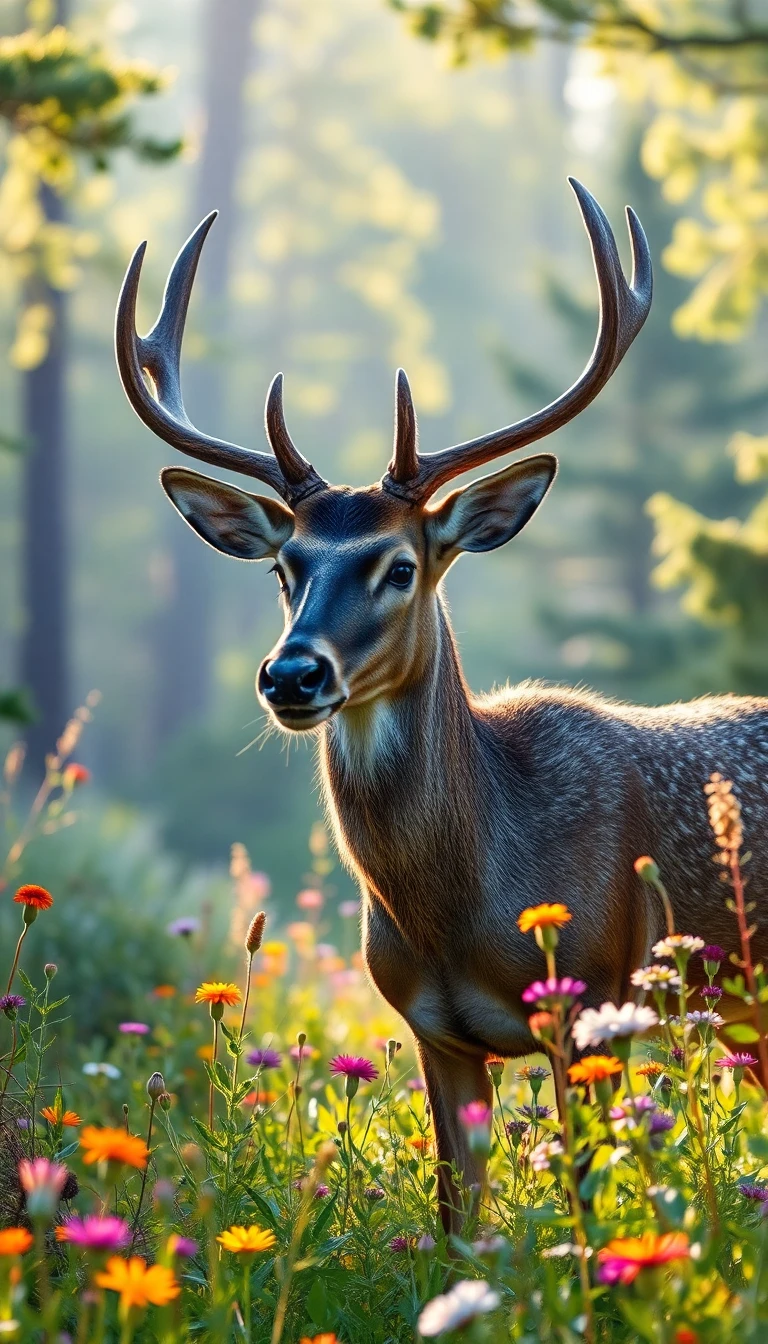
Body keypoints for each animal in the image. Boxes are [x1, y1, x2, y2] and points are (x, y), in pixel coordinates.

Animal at [115, 179, 768, 1232]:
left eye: (400, 566)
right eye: (284, 568)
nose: (290, 676)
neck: (464, 906)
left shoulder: (594, 1004)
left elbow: (587, 1220)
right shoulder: (433, 1030)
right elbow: (458, 1224)